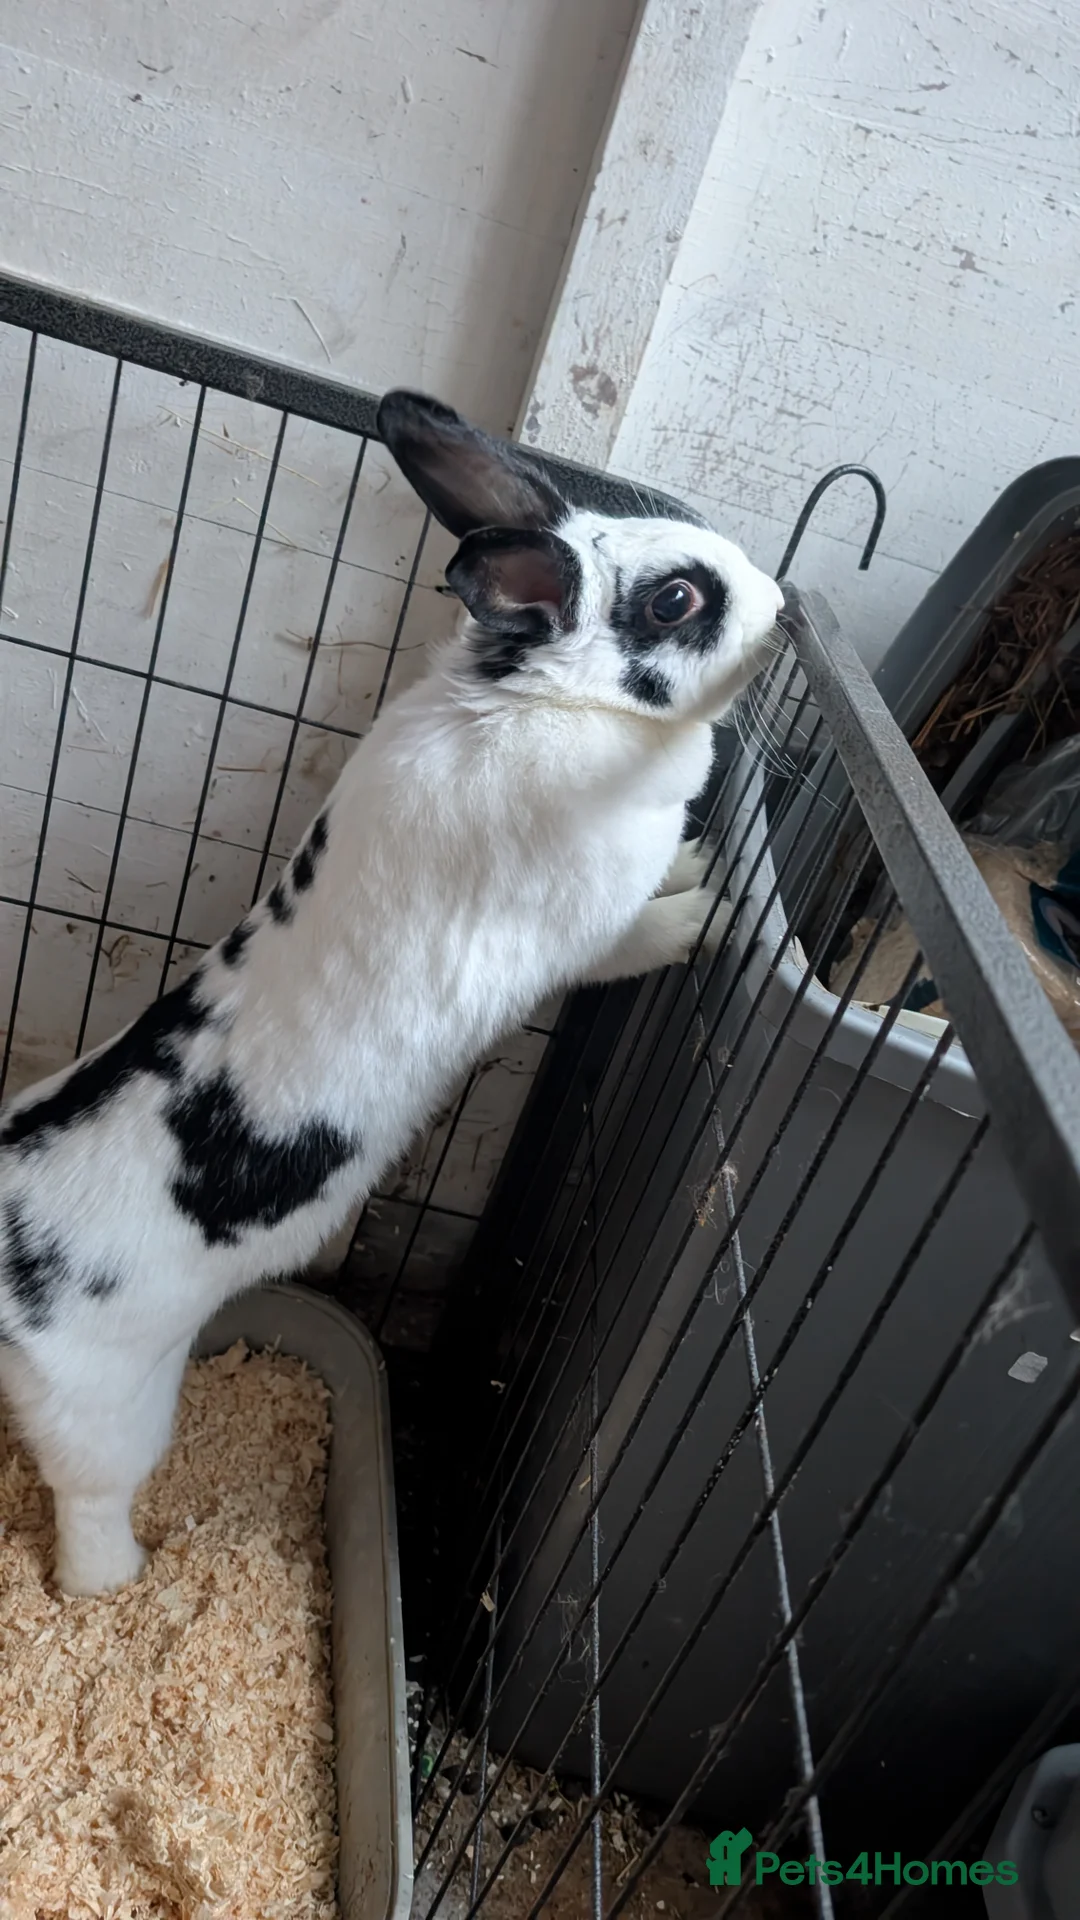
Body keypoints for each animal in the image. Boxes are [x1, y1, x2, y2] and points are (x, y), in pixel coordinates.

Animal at [0, 390, 783, 1598]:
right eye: (679, 599)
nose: (784, 604)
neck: (532, 699)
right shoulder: (587, 926)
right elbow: (637, 938)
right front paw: (713, 909)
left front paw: (704, 871)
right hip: (106, 1404)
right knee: (88, 1508)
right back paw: (119, 1579)